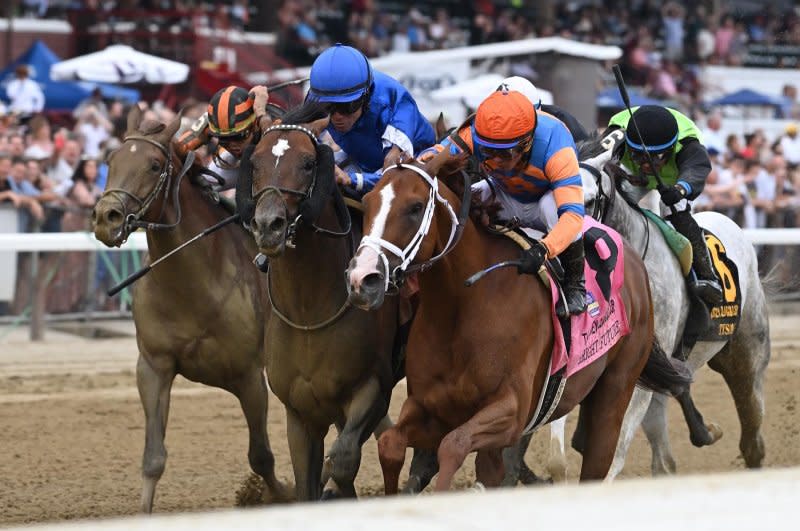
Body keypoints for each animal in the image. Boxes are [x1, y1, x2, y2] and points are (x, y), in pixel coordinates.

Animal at [92, 107, 290, 512]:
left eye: (154, 165)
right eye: (110, 160)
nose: (107, 217)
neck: (192, 287)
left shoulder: (249, 376)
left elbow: (261, 455)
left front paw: (281, 494)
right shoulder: (153, 366)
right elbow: (153, 458)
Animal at [239, 102, 432, 500]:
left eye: (309, 162)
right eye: (255, 162)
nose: (268, 225)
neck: (309, 312)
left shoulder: (372, 389)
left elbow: (341, 460)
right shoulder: (299, 413)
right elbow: (307, 481)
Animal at [346, 151, 692, 494]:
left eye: (415, 207)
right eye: (368, 201)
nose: (363, 278)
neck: (462, 307)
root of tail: (635, 262)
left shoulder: (510, 413)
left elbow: (453, 446)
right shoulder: (431, 408)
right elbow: (390, 443)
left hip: (616, 392)